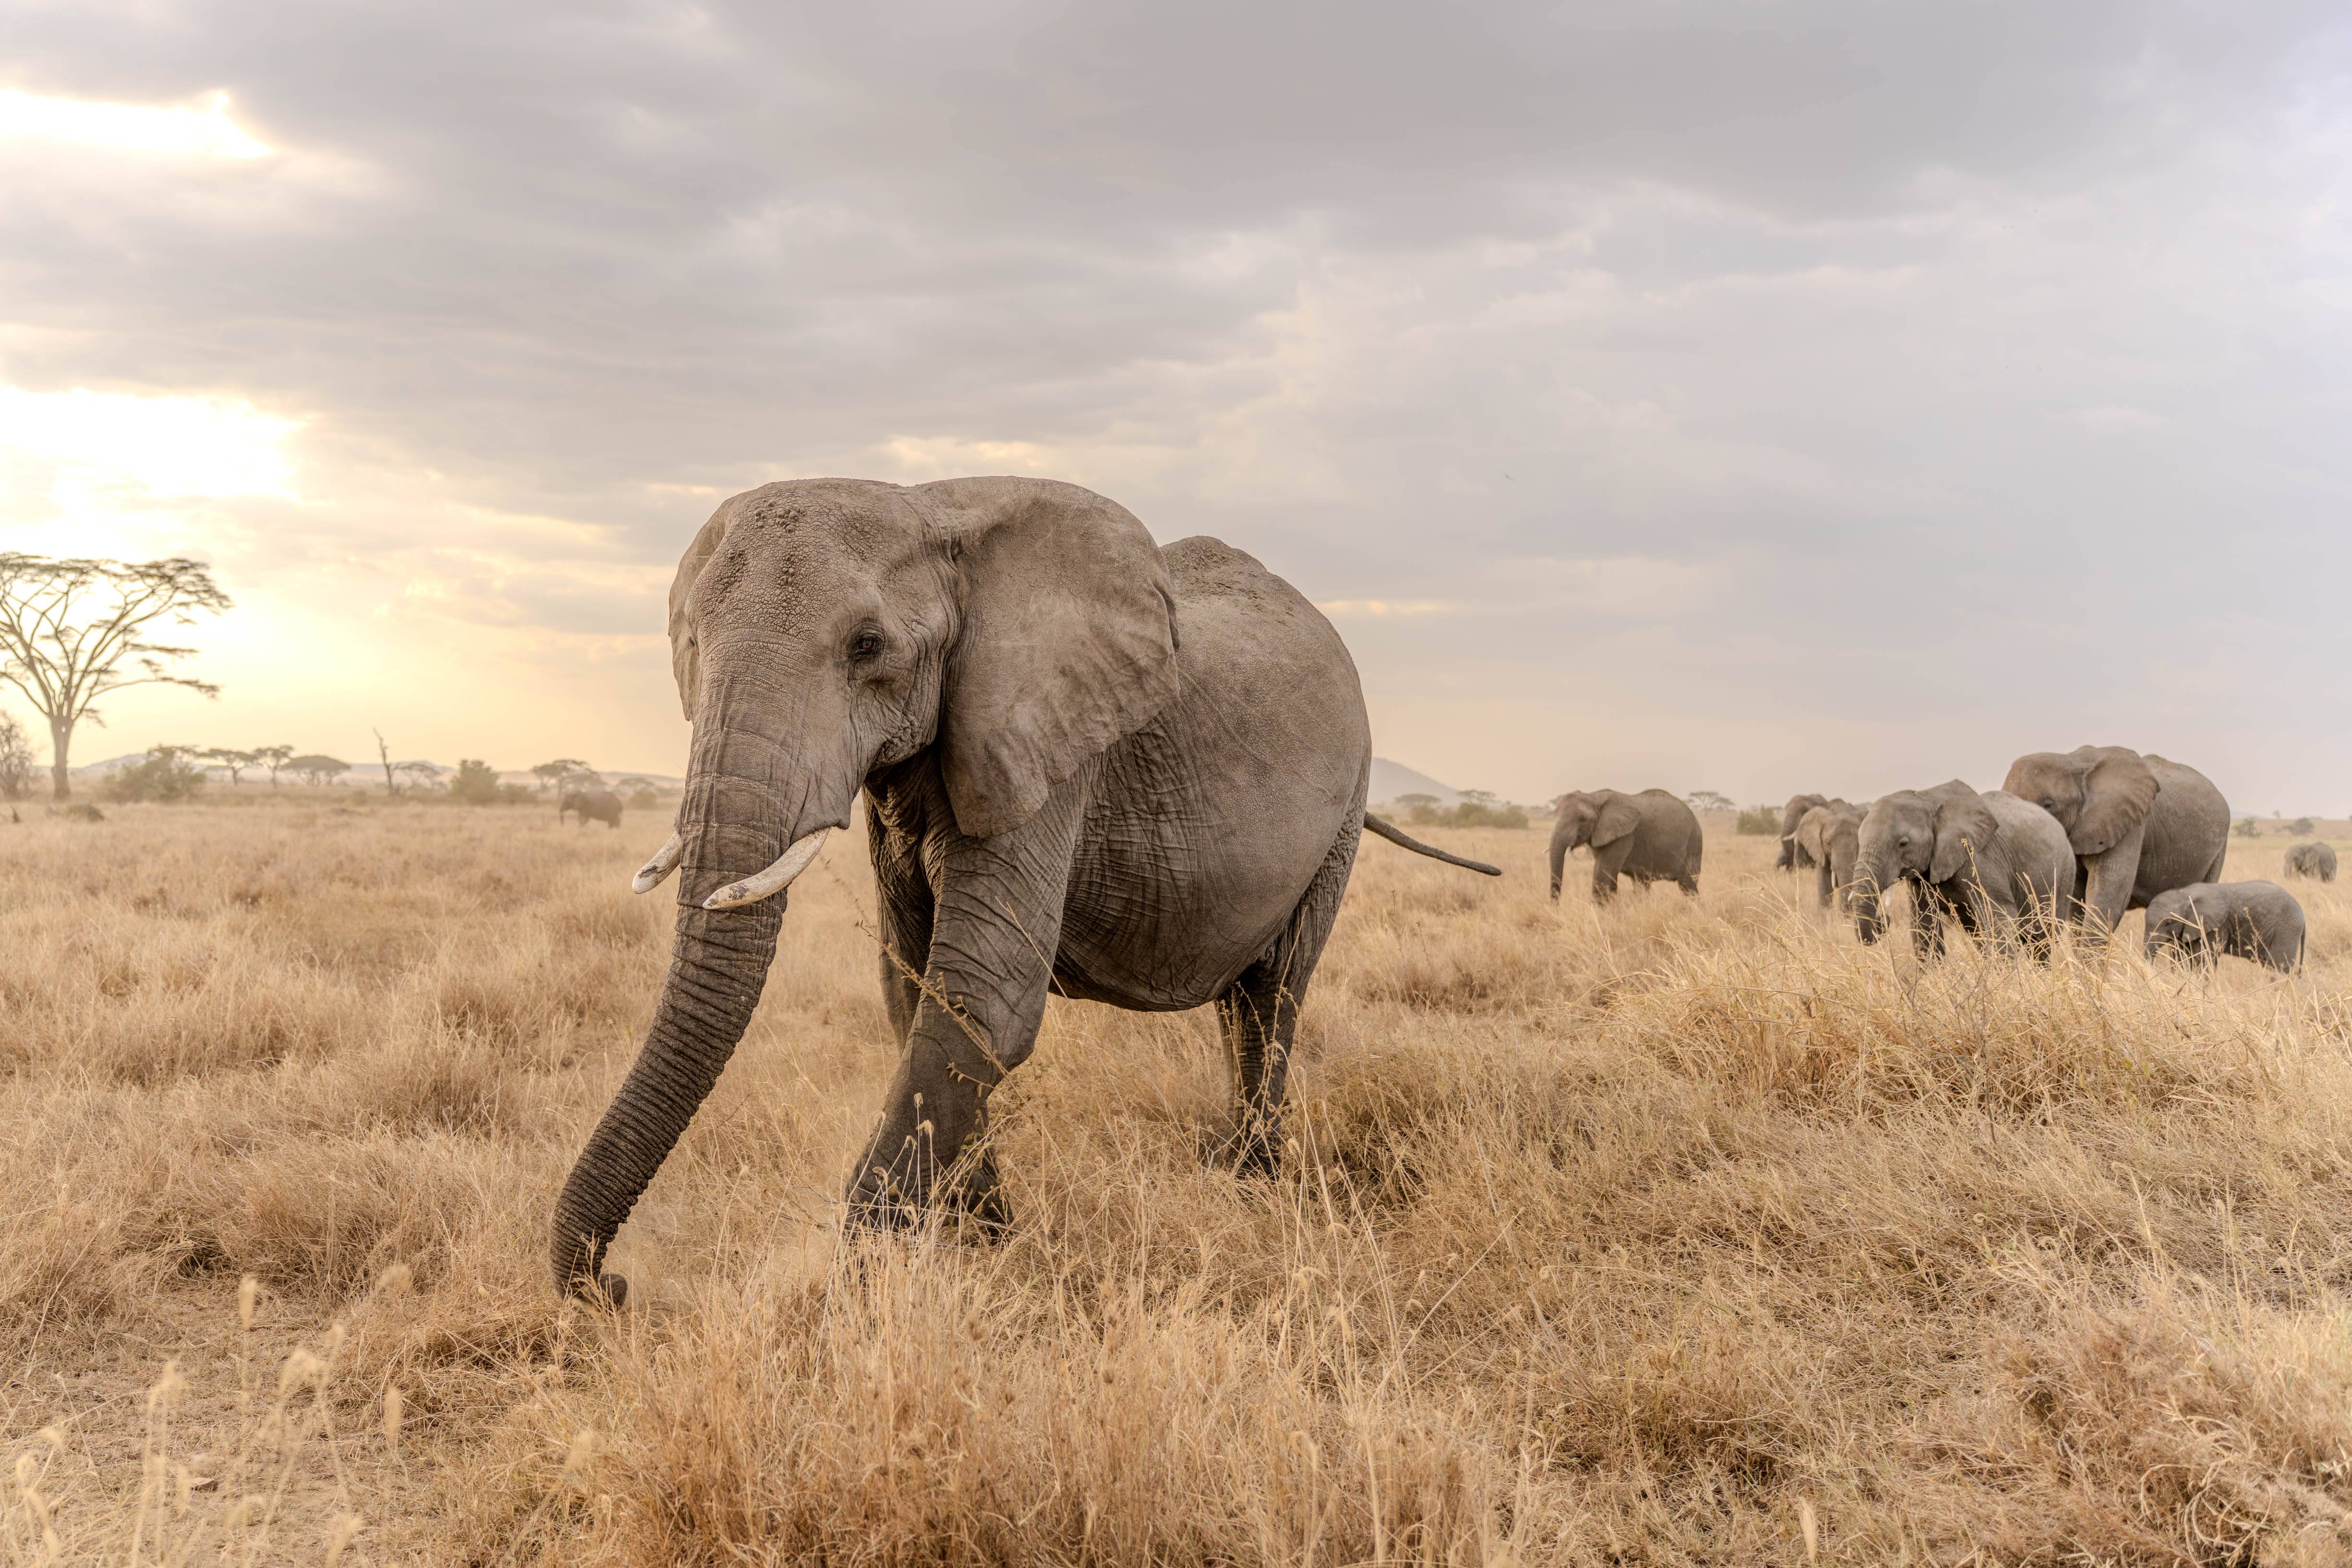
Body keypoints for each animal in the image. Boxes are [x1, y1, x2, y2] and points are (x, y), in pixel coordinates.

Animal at [560, 788, 623, 828]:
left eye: (567, 801)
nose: (563, 826)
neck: (579, 793)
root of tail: (619, 802)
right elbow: (582, 819)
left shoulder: (585, 807)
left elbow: (583, 819)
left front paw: (581, 828)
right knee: (614, 822)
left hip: (613, 810)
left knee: (614, 821)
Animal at [1548, 789, 1702, 903]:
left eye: (1582, 819)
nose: (1556, 907)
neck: (1594, 797)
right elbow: (1609, 878)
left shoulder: (1624, 837)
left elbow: (1602, 874)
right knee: (1642, 884)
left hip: (1693, 843)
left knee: (1688, 886)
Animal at [1852, 782, 2074, 959]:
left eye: (1903, 844)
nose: (1882, 919)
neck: (1927, 798)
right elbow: (1923, 925)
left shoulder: (1981, 859)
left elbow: (1998, 917)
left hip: (2061, 879)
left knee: (2041, 941)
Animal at [2000, 747, 2230, 936]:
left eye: (2048, 805)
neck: (2073, 762)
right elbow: (2078, 904)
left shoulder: (2130, 823)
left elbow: (2108, 898)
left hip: (2219, 849)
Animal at [2145, 881, 2305, 973]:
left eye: (2168, 923)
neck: (2184, 893)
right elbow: (2182, 955)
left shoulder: (2215, 926)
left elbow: (2204, 957)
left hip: (2287, 929)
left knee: (2278, 967)